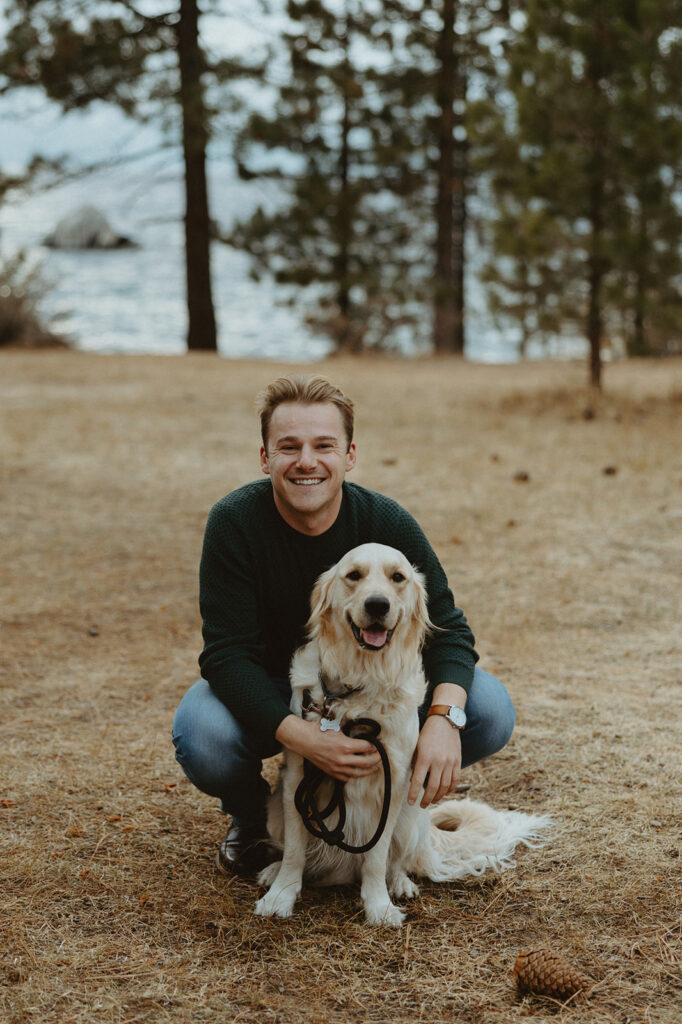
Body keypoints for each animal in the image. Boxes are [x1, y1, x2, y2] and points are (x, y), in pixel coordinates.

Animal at [254, 544, 548, 929]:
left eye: (398, 577)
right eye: (354, 576)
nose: (378, 605)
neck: (359, 682)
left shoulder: (392, 784)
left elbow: (376, 858)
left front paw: (378, 905)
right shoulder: (298, 777)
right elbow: (294, 851)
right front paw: (281, 895)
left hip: (410, 816)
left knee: (395, 862)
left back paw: (400, 884)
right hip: (274, 810)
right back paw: (272, 871)